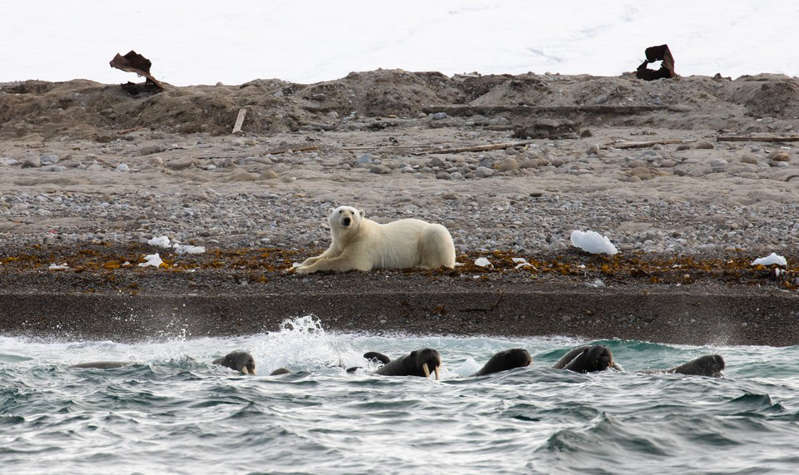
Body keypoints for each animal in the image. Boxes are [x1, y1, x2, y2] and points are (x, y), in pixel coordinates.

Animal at [294, 205, 456, 276]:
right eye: (340, 211)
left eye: (352, 212)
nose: (347, 220)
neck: (352, 234)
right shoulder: (338, 244)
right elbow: (325, 255)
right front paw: (299, 264)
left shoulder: (363, 243)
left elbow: (349, 261)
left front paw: (302, 270)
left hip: (434, 234)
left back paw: (420, 266)